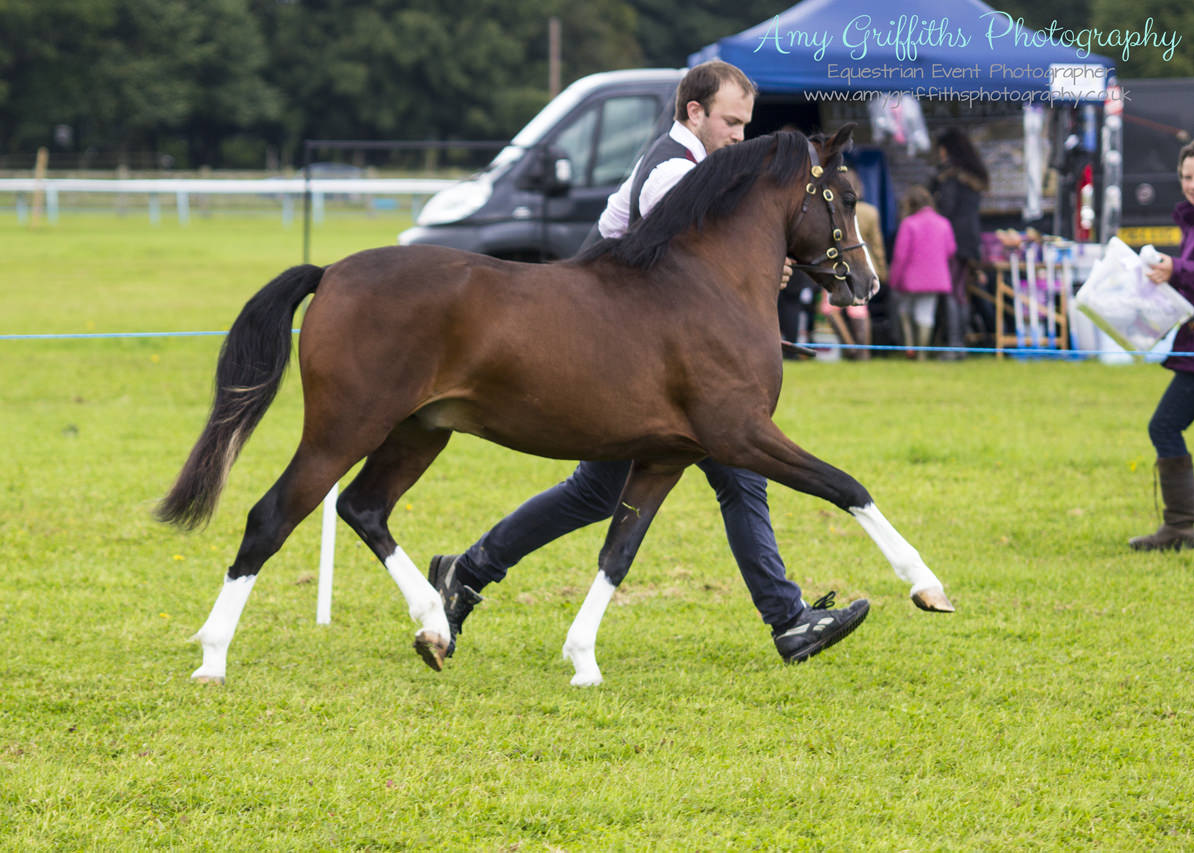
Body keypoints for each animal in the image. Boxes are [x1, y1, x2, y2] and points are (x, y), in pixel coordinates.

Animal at [158, 124, 950, 683]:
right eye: (845, 196)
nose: (867, 287)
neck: (703, 283)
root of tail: (332, 273)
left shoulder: (667, 455)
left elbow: (617, 551)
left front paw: (583, 661)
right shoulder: (741, 434)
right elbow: (847, 485)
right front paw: (927, 588)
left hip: (418, 433)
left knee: (363, 508)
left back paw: (436, 627)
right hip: (343, 427)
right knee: (273, 517)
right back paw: (213, 659)